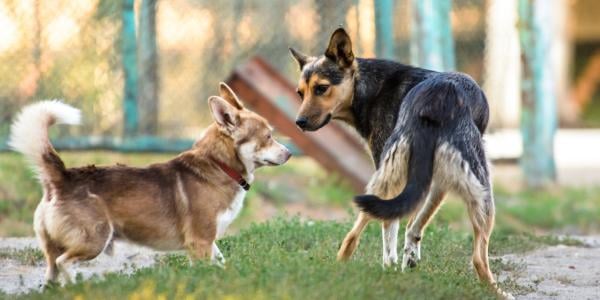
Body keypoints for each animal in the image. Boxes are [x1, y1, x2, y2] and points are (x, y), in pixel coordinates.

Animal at [9, 82, 290, 284]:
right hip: (94, 241)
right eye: (268, 136)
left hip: (54, 252)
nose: (289, 153)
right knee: (64, 264)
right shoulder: (199, 242)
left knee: (52, 273)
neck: (219, 165)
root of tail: (62, 177)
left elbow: (221, 262)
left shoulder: (209, 243)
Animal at [290, 28, 510, 298]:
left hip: (387, 180)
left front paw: (404, 261)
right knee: (478, 256)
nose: (299, 122)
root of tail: (437, 100)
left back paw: (350, 266)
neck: (368, 90)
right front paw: (408, 259)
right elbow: (414, 222)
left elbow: (405, 225)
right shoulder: (434, 181)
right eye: (300, 93)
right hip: (478, 192)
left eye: (321, 88)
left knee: (362, 229)